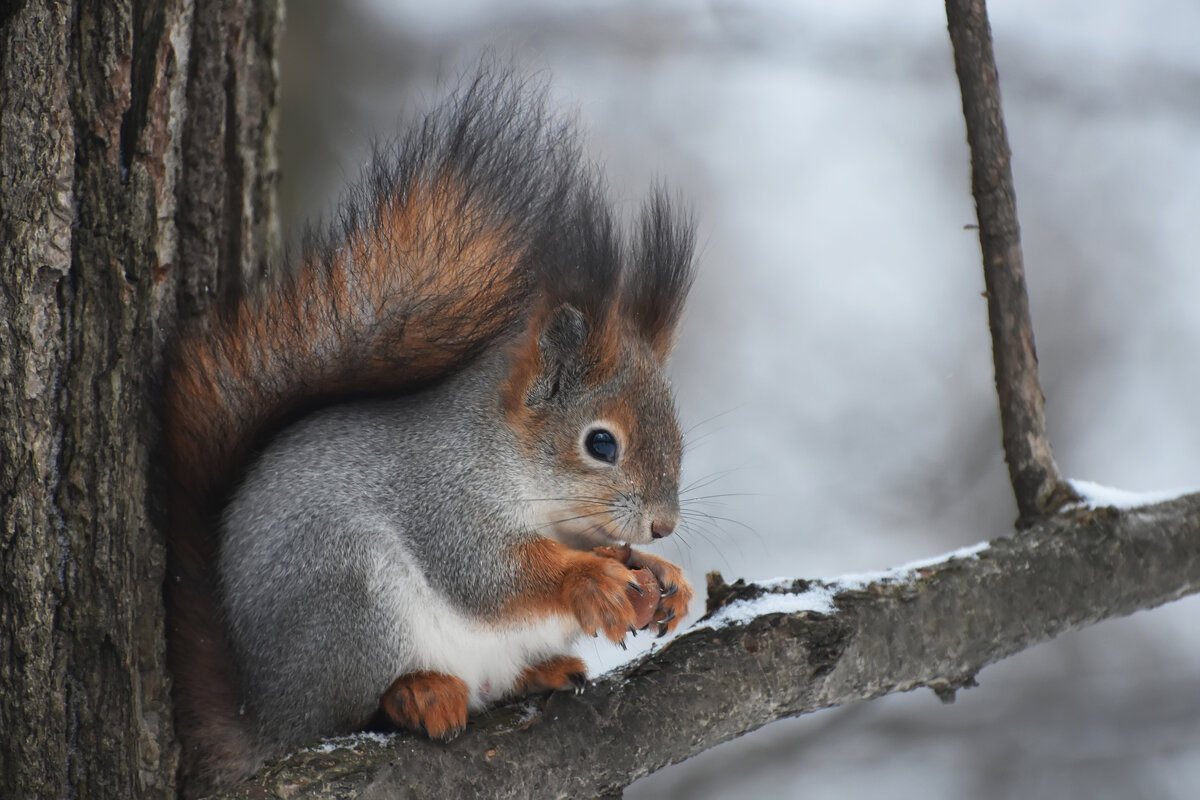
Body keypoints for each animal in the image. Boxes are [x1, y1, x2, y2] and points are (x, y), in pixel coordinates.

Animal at [164, 70, 700, 786]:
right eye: (601, 443)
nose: (663, 525)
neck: (505, 455)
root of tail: (265, 720)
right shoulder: (440, 493)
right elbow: (483, 572)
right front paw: (589, 580)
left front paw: (665, 576)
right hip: (349, 594)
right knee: (351, 711)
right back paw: (417, 693)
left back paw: (542, 672)